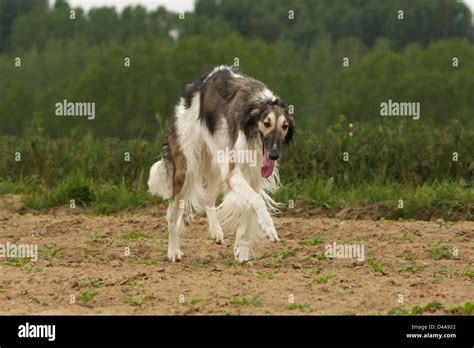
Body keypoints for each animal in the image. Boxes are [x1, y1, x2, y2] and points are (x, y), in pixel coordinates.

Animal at [149, 64, 296, 260]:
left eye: (285, 126)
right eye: (266, 123)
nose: (274, 155)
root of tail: (194, 87)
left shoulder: (253, 177)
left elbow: (249, 209)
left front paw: (242, 252)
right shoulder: (234, 173)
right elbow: (256, 201)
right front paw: (269, 228)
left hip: (216, 166)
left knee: (208, 200)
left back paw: (216, 232)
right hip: (187, 167)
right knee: (173, 213)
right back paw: (173, 251)